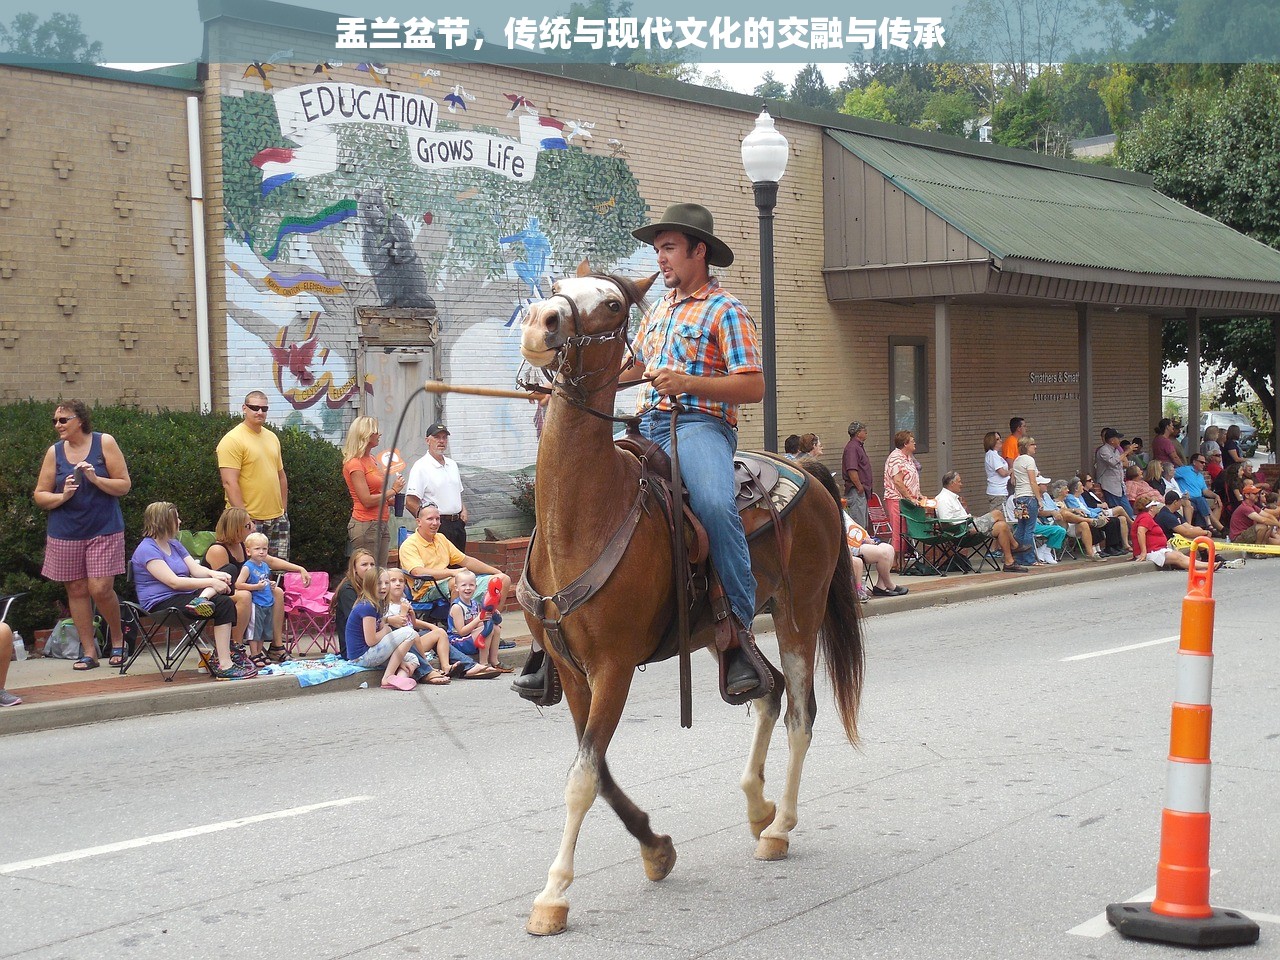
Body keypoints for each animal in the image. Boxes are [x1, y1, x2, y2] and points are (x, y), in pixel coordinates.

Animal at [514, 271, 865, 942]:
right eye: (560, 284)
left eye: (613, 304)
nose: (541, 323)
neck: (584, 514)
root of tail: (804, 466)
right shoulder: (571, 672)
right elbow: (598, 771)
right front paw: (656, 848)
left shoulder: (614, 668)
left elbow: (582, 779)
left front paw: (552, 894)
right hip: (724, 630)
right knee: (766, 690)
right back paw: (759, 806)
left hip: (798, 613)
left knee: (799, 711)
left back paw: (780, 827)